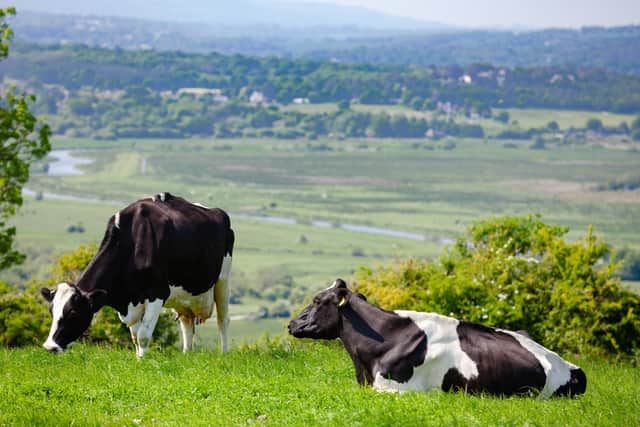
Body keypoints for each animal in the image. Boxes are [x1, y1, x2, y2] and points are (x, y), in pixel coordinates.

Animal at [40, 192, 235, 357]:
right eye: (51, 311)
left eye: (73, 312)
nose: (50, 347)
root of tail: (217, 212)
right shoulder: (132, 300)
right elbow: (135, 337)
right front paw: (137, 359)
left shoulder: (158, 293)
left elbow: (143, 336)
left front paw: (142, 362)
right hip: (184, 295)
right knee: (187, 323)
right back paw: (187, 355)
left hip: (223, 280)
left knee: (223, 319)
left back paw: (224, 354)